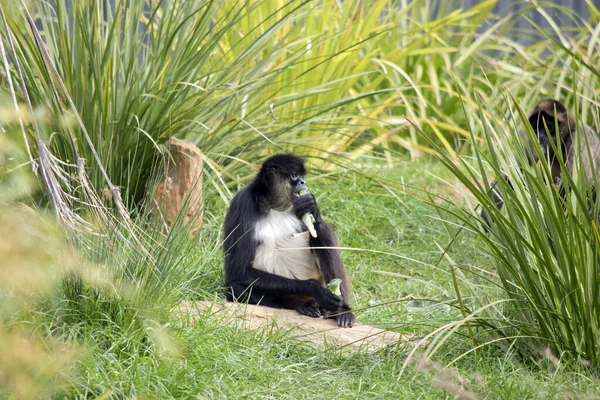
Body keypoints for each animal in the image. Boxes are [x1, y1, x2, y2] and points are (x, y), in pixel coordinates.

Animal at [223, 155, 354, 326]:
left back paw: (341, 311)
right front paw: (315, 288)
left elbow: (313, 224)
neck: (273, 206)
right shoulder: (242, 203)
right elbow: (238, 272)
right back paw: (305, 304)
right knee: (235, 286)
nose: (303, 182)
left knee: (320, 229)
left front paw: (312, 205)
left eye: (302, 176)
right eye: (294, 176)